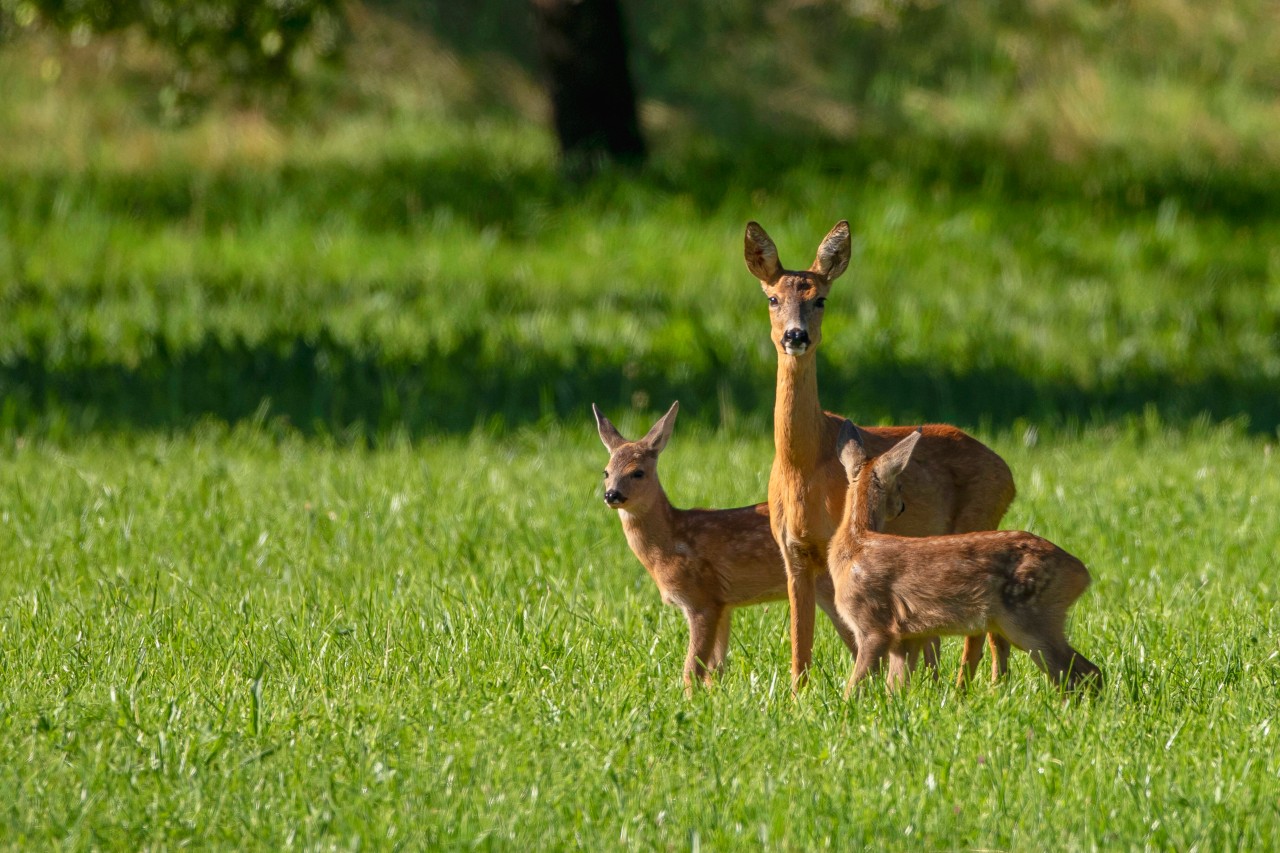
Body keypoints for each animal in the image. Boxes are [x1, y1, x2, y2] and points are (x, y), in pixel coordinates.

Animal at [591, 402, 860, 686]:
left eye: (638, 472)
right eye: (606, 472)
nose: (612, 494)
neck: (669, 543)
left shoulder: (701, 597)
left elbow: (692, 670)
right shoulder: (724, 604)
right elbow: (716, 670)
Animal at [747, 216, 1013, 686]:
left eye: (820, 300)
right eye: (773, 298)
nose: (795, 336)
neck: (803, 465)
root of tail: (1009, 475)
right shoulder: (791, 550)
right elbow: (800, 648)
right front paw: (798, 697)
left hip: (977, 519)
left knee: (977, 632)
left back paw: (968, 688)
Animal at [829, 422, 1100, 696]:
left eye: (901, 485)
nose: (901, 506)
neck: (855, 544)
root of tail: (1081, 574)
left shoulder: (874, 625)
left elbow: (856, 685)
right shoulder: (905, 635)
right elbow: (896, 685)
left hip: (1030, 622)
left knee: (1083, 672)